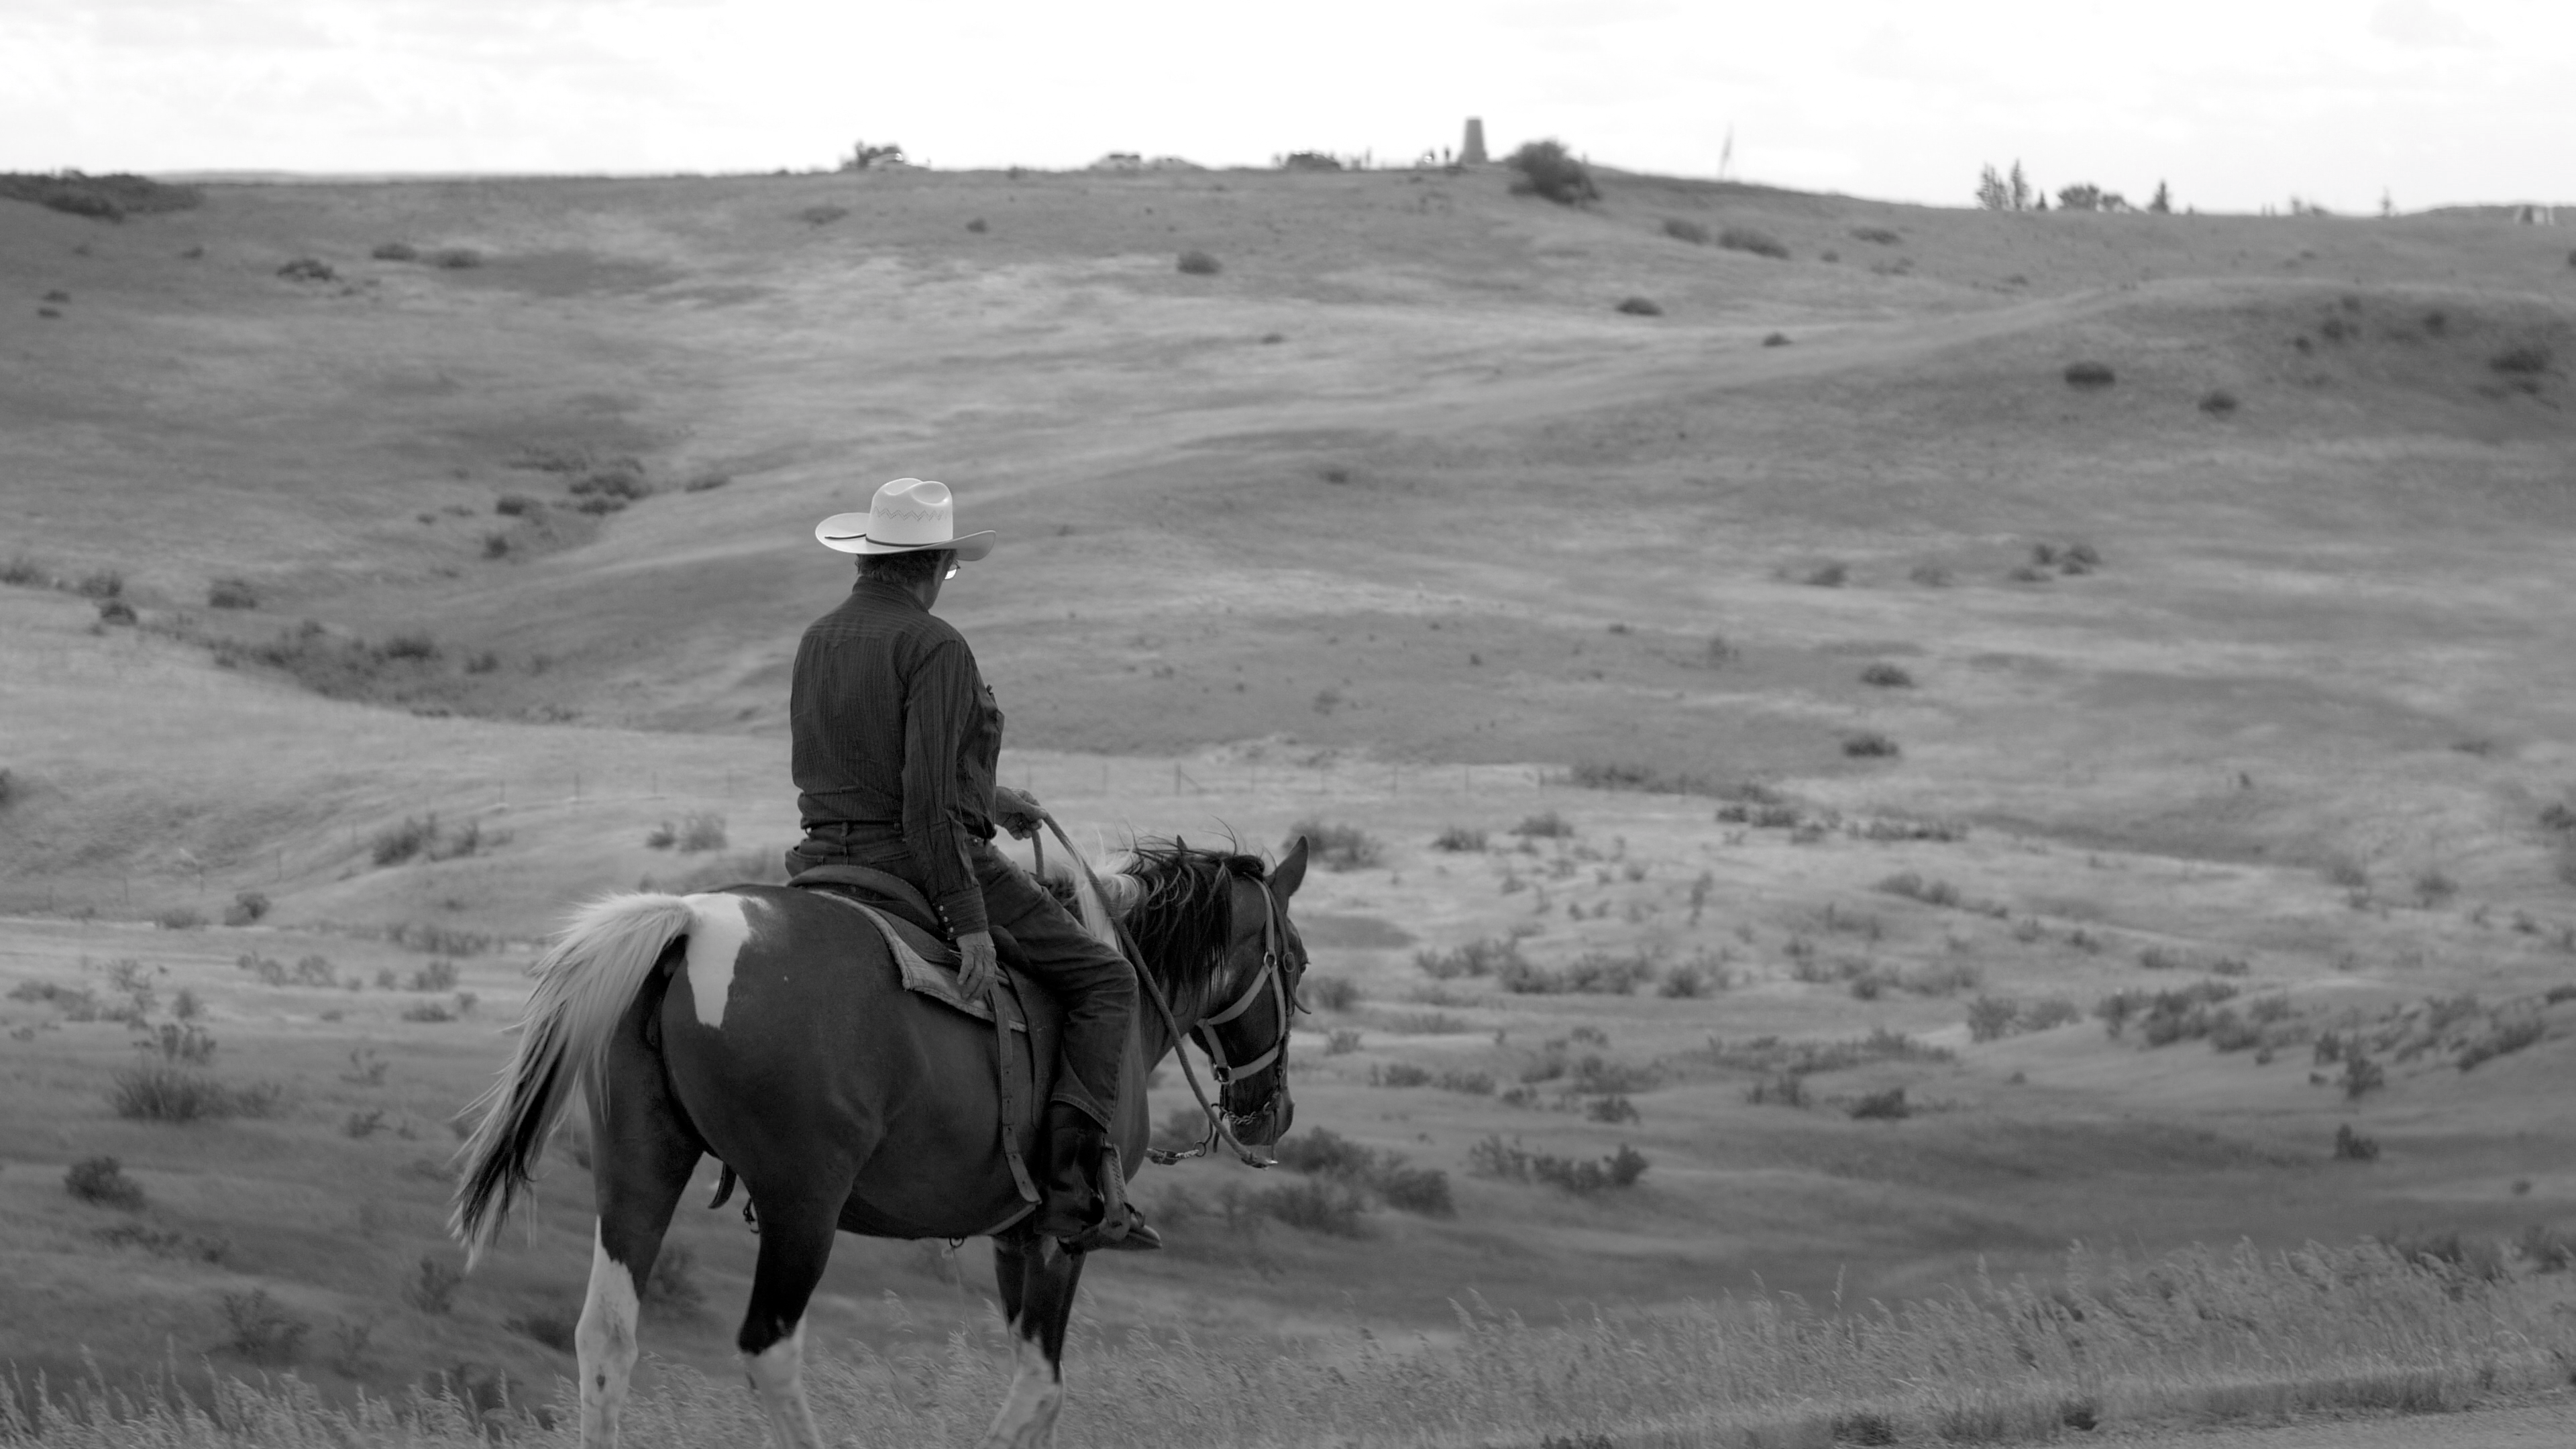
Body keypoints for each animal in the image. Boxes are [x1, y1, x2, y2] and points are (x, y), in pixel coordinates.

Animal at [448, 835, 1308, 1444]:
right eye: (1296, 964)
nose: (1273, 1112)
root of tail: (692, 926)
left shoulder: (1013, 1235)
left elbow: (1040, 1393)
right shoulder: (1061, 1238)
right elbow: (1042, 1387)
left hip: (640, 1167)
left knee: (606, 1340)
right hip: (802, 1205)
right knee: (770, 1350)